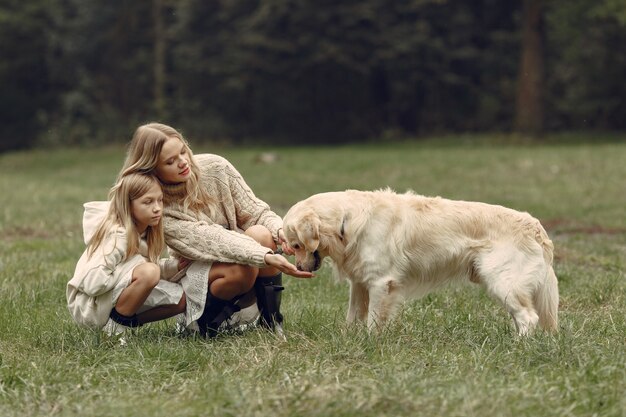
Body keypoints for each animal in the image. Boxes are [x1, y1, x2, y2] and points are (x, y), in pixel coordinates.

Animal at [282, 188, 556, 334]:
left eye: (296, 245)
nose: (299, 267)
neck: (346, 221)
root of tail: (536, 227)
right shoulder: (360, 283)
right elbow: (354, 316)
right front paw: (348, 338)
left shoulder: (381, 283)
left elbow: (373, 320)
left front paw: (369, 342)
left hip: (504, 281)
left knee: (528, 317)